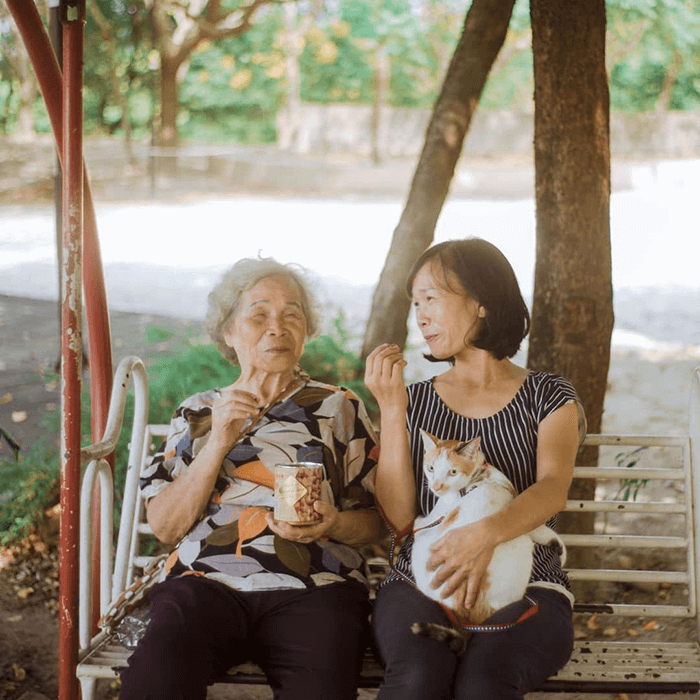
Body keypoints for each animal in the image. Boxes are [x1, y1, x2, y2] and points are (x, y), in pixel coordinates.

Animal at [410, 430, 564, 652]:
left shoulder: (435, 516)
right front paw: (556, 544)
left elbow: (418, 524)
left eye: (453, 472)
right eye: (430, 468)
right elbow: (538, 527)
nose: (436, 486)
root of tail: (471, 613)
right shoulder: (518, 510)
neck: (480, 478)